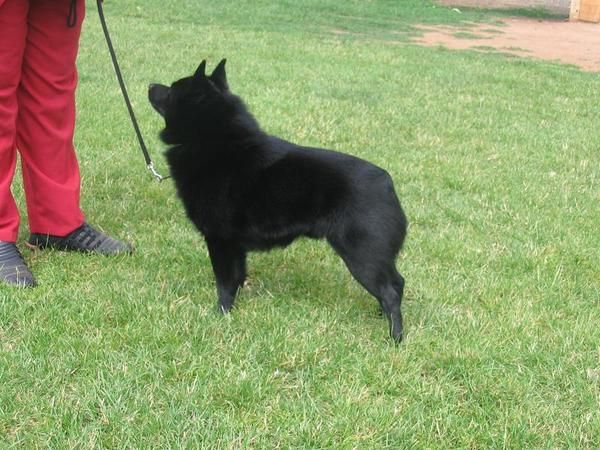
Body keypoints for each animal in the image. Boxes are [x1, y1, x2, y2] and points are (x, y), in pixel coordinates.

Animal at [148, 59, 408, 342]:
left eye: (172, 89)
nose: (150, 85)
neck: (213, 141)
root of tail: (387, 183)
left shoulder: (220, 240)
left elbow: (224, 283)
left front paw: (221, 314)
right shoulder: (235, 246)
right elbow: (237, 276)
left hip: (362, 255)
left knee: (391, 291)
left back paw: (395, 337)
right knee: (396, 284)